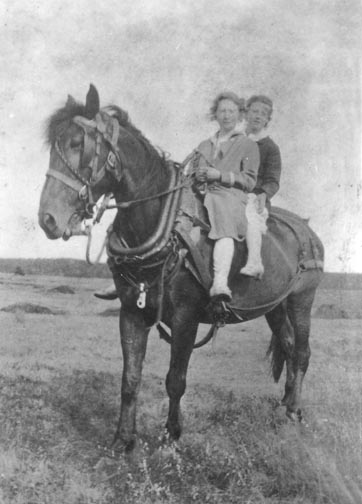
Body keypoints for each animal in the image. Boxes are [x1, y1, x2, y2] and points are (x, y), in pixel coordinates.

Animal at [38, 84, 324, 450]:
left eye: (78, 143)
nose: (47, 219)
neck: (161, 224)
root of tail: (306, 230)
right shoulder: (131, 312)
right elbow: (130, 378)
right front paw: (123, 440)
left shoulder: (186, 318)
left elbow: (176, 379)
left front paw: (171, 437)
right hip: (275, 305)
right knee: (287, 347)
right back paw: (284, 404)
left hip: (302, 300)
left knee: (301, 353)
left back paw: (294, 412)